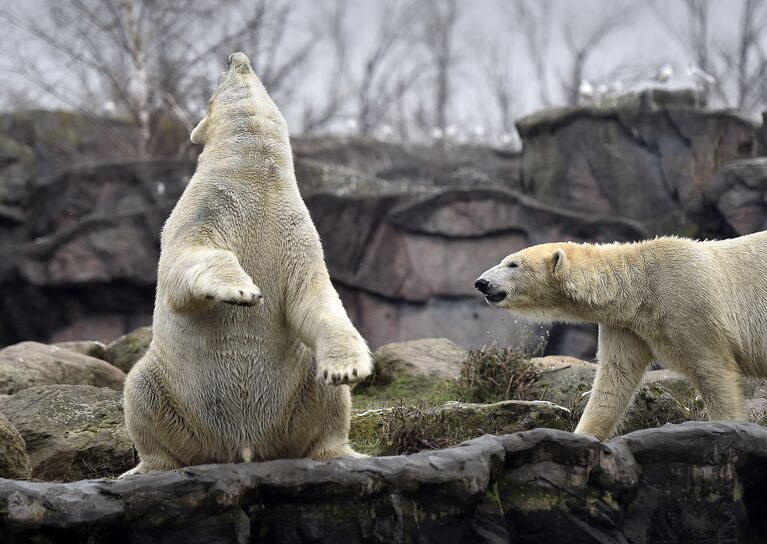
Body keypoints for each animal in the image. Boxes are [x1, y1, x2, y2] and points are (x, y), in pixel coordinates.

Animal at [121, 52, 374, 476]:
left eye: (222, 78)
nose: (236, 56)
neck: (257, 175)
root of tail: (243, 446)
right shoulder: (214, 207)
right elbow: (188, 258)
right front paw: (243, 289)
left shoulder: (291, 232)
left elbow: (314, 297)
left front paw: (346, 369)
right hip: (172, 389)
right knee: (140, 390)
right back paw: (149, 466)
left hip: (296, 393)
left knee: (327, 401)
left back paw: (339, 451)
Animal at [474, 233, 767, 442]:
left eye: (512, 263)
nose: (481, 283)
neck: (642, 285)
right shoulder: (626, 325)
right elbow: (616, 377)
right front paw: (583, 437)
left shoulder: (690, 303)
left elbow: (713, 370)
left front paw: (730, 428)